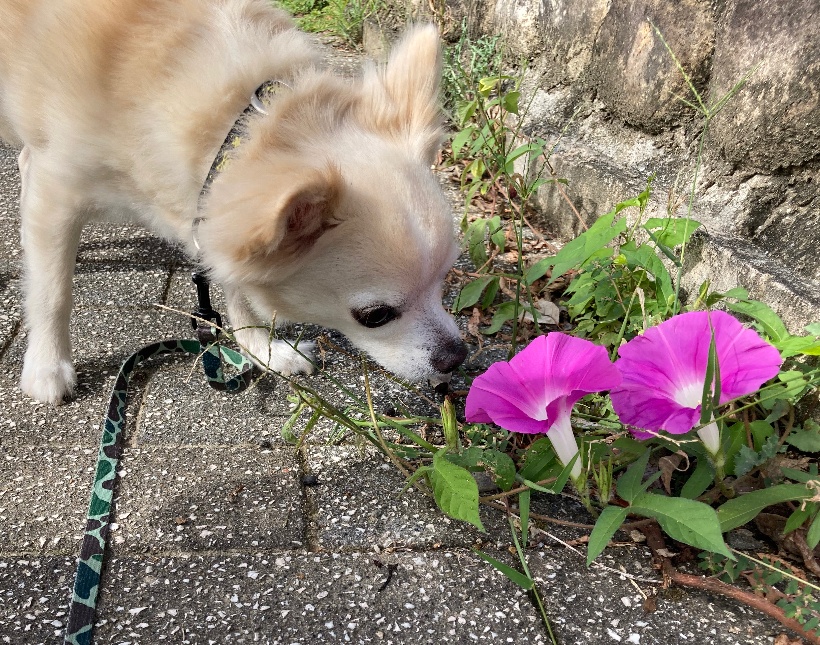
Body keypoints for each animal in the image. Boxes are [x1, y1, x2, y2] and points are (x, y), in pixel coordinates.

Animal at [0, 0, 468, 402]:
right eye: (375, 315)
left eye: (445, 279)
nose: (458, 356)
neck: (236, 122)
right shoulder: (58, 193)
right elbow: (52, 289)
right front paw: (46, 367)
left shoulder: (216, 213)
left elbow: (237, 288)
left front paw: (261, 348)